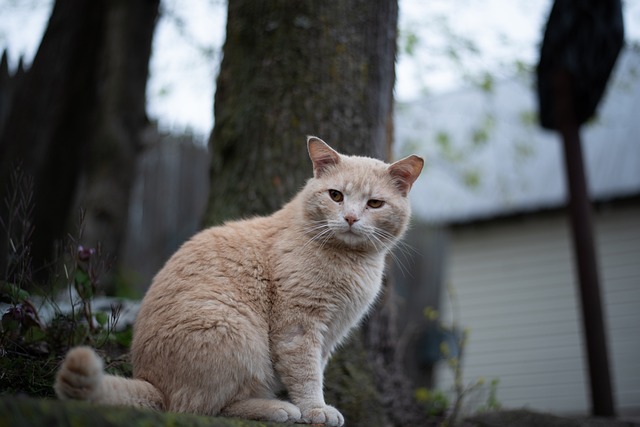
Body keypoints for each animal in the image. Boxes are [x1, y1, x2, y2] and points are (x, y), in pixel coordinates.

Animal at [55, 138, 422, 427]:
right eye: (335, 196)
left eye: (374, 203)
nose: (350, 218)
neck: (349, 261)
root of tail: (150, 380)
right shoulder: (299, 326)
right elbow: (306, 374)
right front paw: (315, 409)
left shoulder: (331, 332)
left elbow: (315, 367)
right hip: (233, 332)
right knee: (199, 406)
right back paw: (277, 408)